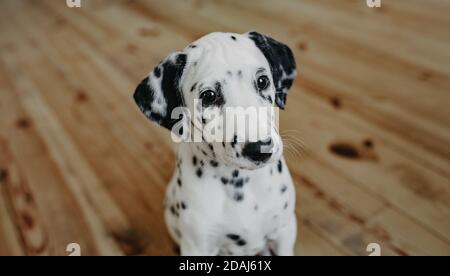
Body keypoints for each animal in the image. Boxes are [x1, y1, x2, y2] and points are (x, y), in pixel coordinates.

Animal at [135, 31, 300, 254]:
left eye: (262, 80)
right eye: (209, 96)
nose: (260, 148)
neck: (239, 183)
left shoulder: (284, 232)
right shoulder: (198, 246)